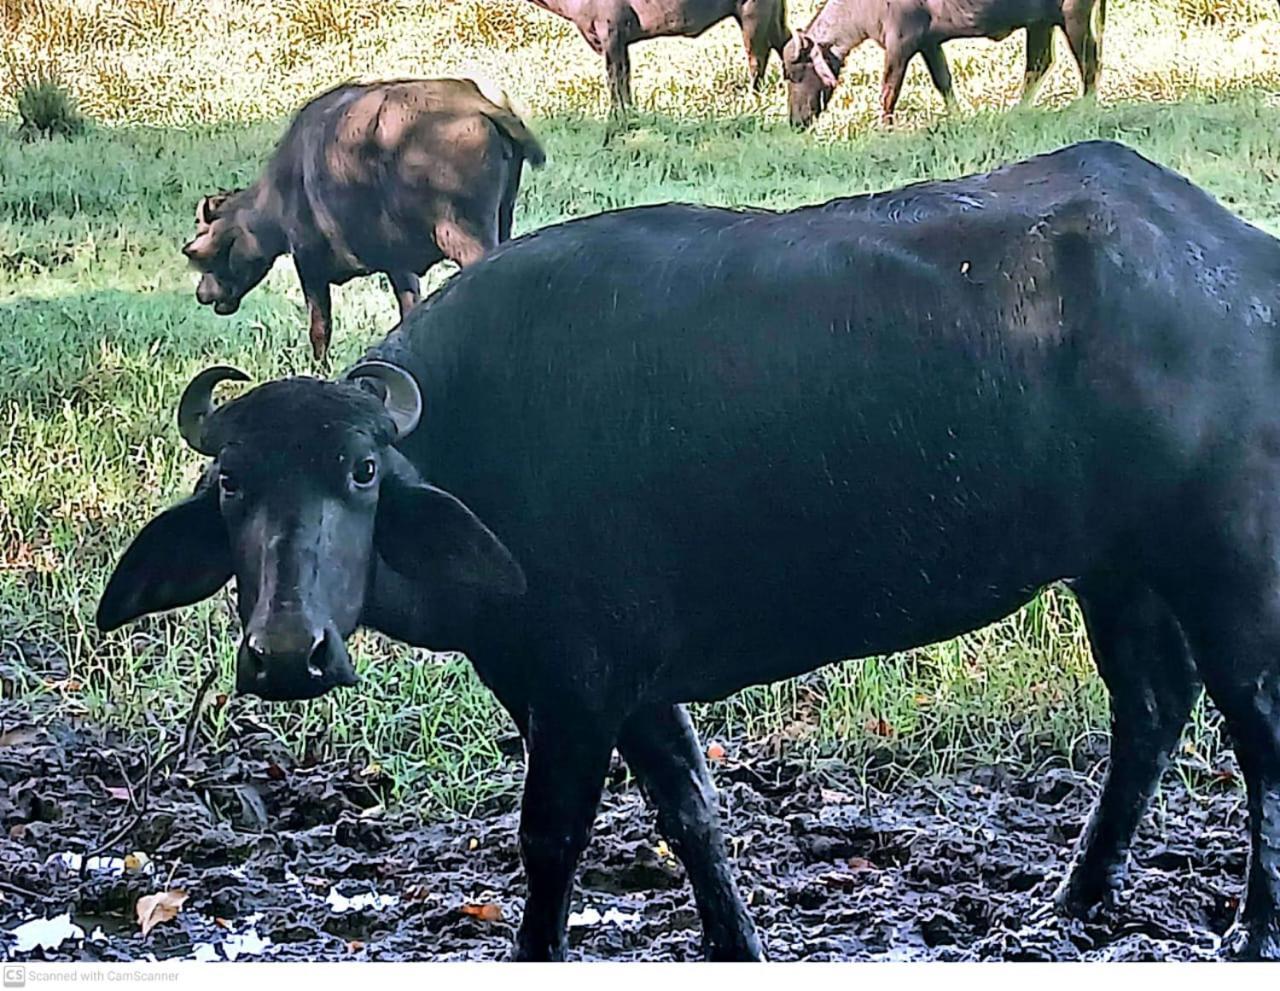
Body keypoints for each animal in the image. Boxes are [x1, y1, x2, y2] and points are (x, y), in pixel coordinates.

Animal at [102, 141, 1280, 962]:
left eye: (359, 472)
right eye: (231, 482)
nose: (286, 653)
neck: (484, 433)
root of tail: (1242, 260)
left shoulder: (576, 681)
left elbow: (552, 836)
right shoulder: (629, 680)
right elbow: (690, 810)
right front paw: (733, 939)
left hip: (1224, 562)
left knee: (1254, 729)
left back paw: (1250, 926)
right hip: (1117, 566)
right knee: (1150, 709)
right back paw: (1072, 898)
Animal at [183, 77, 542, 363]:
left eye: (199, 252)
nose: (202, 294)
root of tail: (476, 104)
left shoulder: (308, 262)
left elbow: (319, 328)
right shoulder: (399, 266)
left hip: (463, 235)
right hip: (502, 221)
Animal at [783, 0, 1105, 127]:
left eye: (795, 74)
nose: (796, 122)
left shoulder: (900, 45)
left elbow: (888, 92)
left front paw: (884, 128)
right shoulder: (929, 44)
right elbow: (944, 81)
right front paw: (957, 117)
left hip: (1073, 15)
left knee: (1088, 61)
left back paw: (1087, 107)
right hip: (1040, 22)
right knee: (1038, 64)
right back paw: (1017, 111)